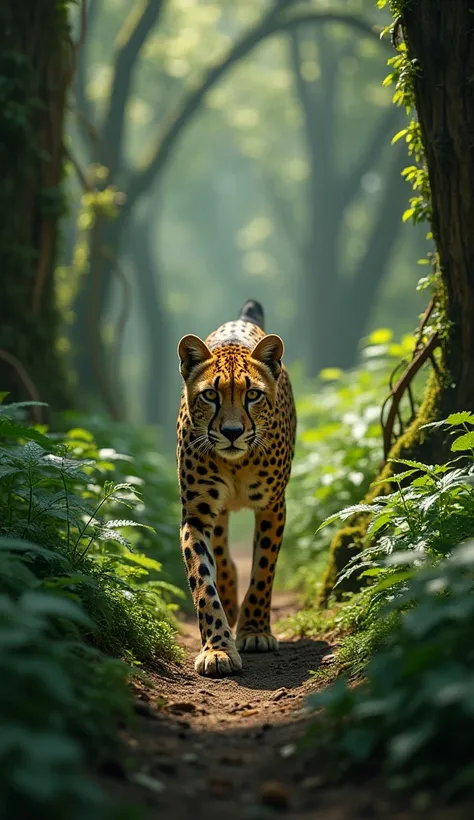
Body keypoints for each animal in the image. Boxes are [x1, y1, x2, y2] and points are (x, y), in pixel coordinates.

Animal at [177, 298, 296, 676]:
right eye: (210, 395)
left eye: (253, 395)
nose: (231, 432)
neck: (237, 463)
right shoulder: (197, 513)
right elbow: (202, 580)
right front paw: (217, 649)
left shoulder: (272, 507)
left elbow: (263, 571)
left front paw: (255, 631)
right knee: (223, 555)